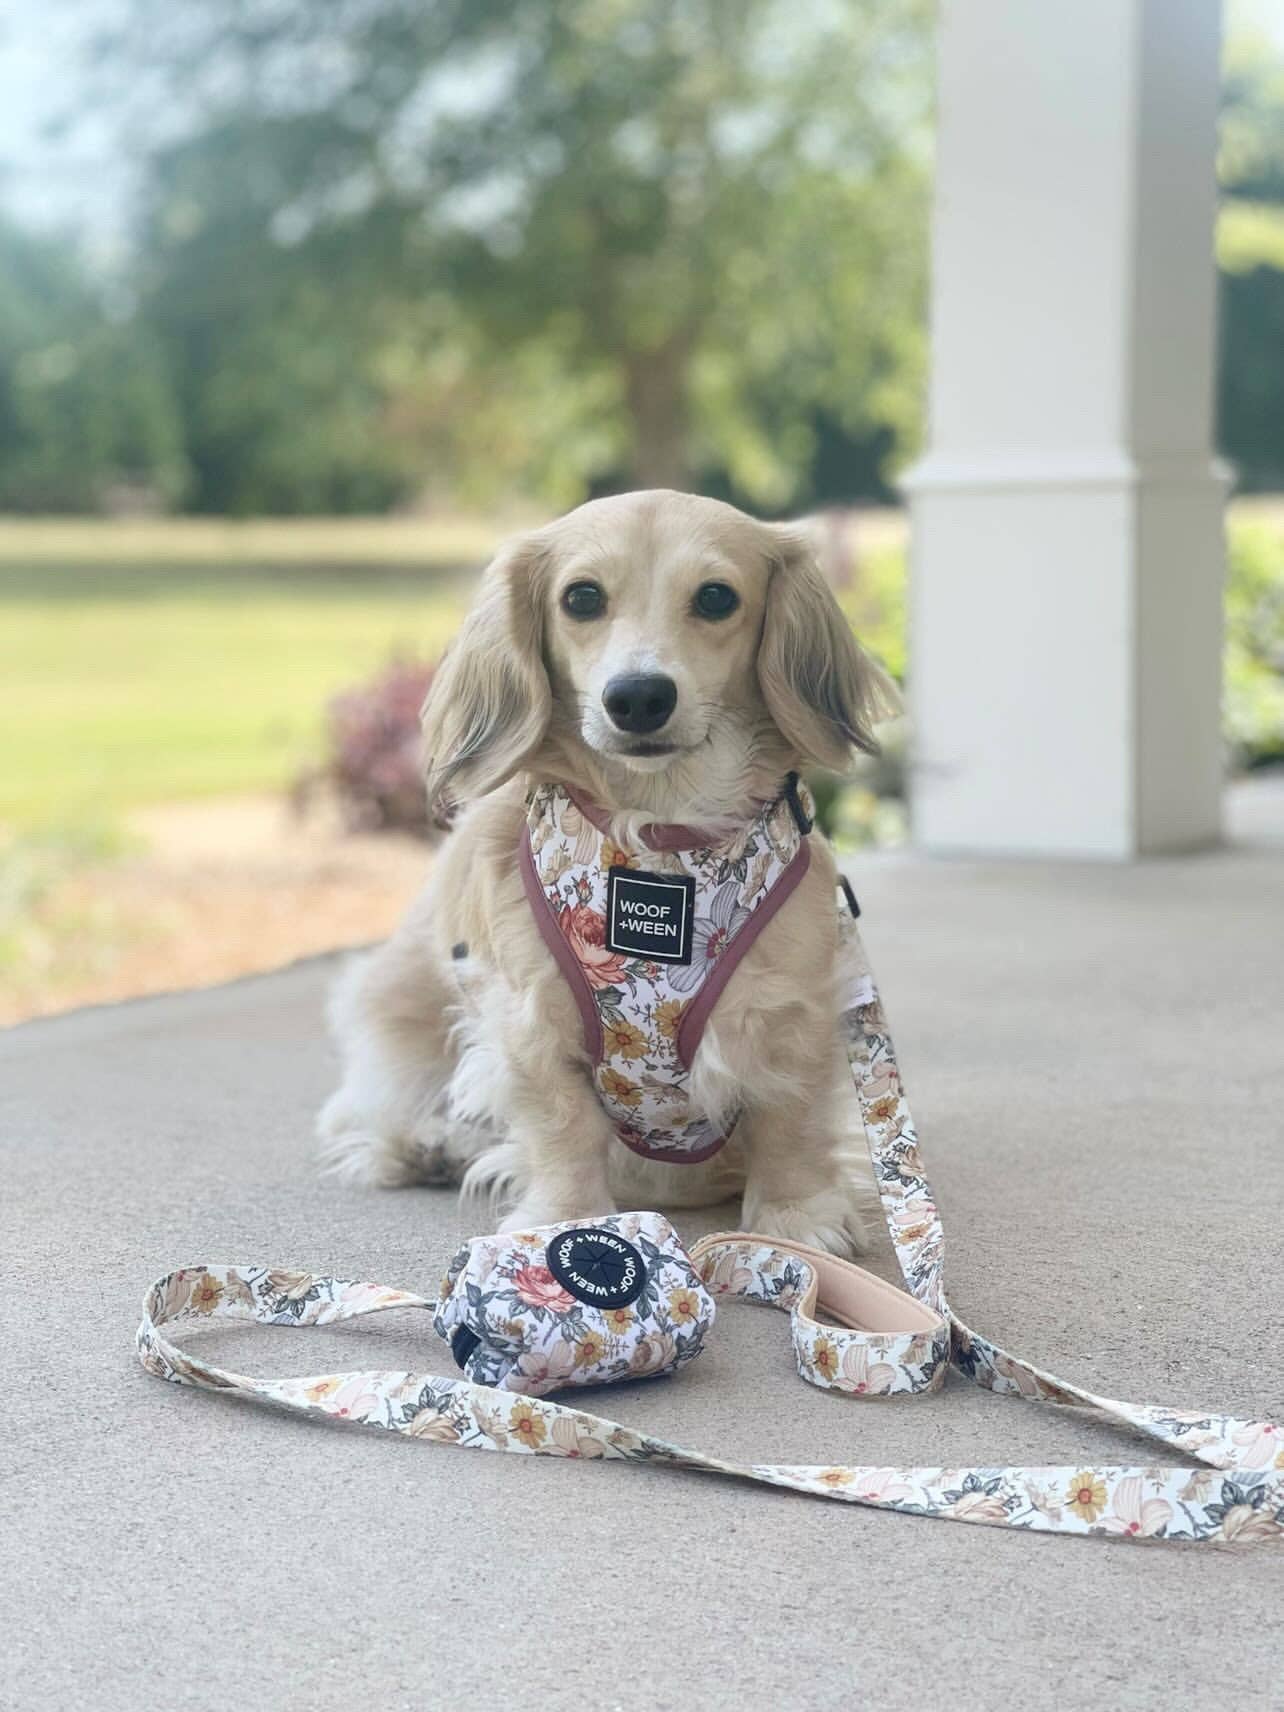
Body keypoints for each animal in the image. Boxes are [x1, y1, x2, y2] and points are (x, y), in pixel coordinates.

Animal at [321, 489, 897, 1253]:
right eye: (582, 597)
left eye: (717, 597)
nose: (640, 697)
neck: (661, 847)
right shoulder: (532, 1025)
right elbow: (562, 1130)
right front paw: (568, 1219)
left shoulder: (792, 1017)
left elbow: (789, 1122)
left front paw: (795, 1223)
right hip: (398, 1016)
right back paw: (428, 1143)